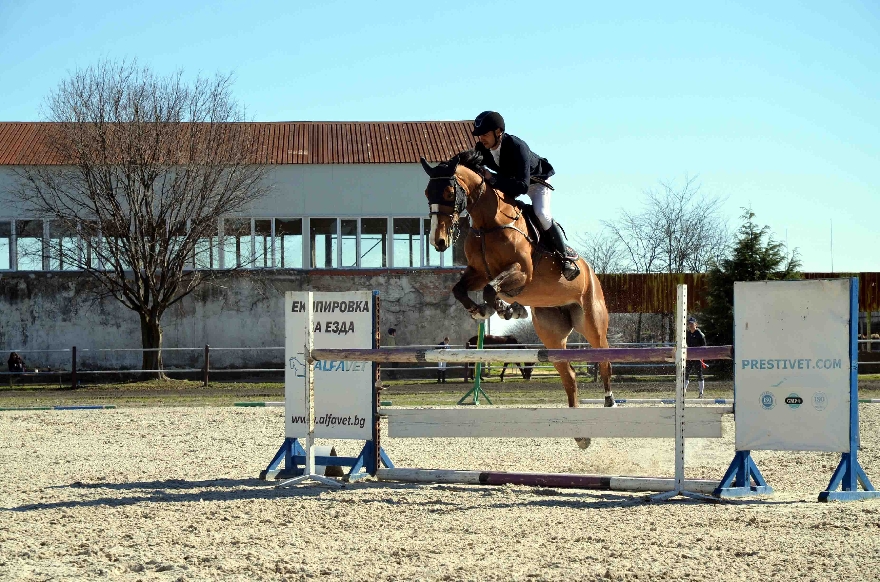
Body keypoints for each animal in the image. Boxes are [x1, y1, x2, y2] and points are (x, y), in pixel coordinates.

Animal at [420, 152, 612, 452]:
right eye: (428, 193)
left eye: (450, 192)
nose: (438, 242)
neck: (488, 224)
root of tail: (591, 271)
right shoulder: (478, 272)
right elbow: (461, 289)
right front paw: (484, 310)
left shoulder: (521, 272)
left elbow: (492, 288)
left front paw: (505, 309)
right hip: (551, 333)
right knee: (569, 375)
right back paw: (581, 435)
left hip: (591, 320)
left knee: (604, 359)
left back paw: (610, 402)